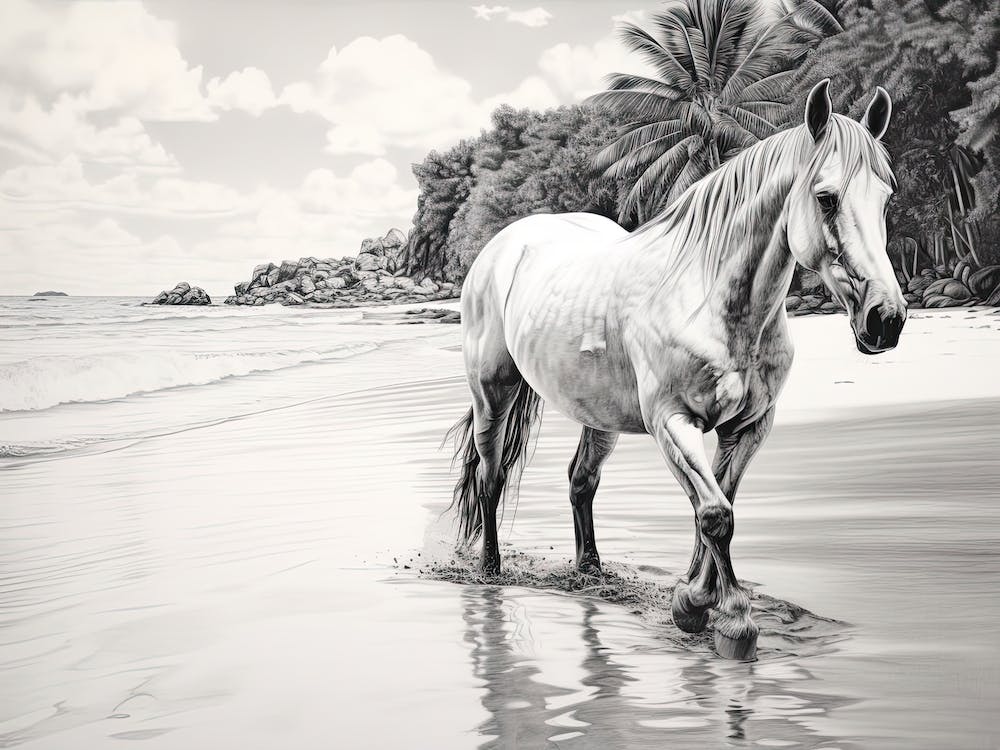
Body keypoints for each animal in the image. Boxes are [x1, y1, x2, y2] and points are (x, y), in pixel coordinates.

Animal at [448, 79, 904, 660]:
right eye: (826, 198)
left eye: (886, 196)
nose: (885, 320)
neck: (707, 296)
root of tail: (506, 243)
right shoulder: (673, 422)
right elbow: (714, 514)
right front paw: (728, 619)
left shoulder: (748, 428)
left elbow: (717, 506)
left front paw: (695, 600)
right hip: (493, 392)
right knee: (491, 475)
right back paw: (490, 570)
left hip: (597, 413)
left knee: (580, 481)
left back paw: (590, 572)